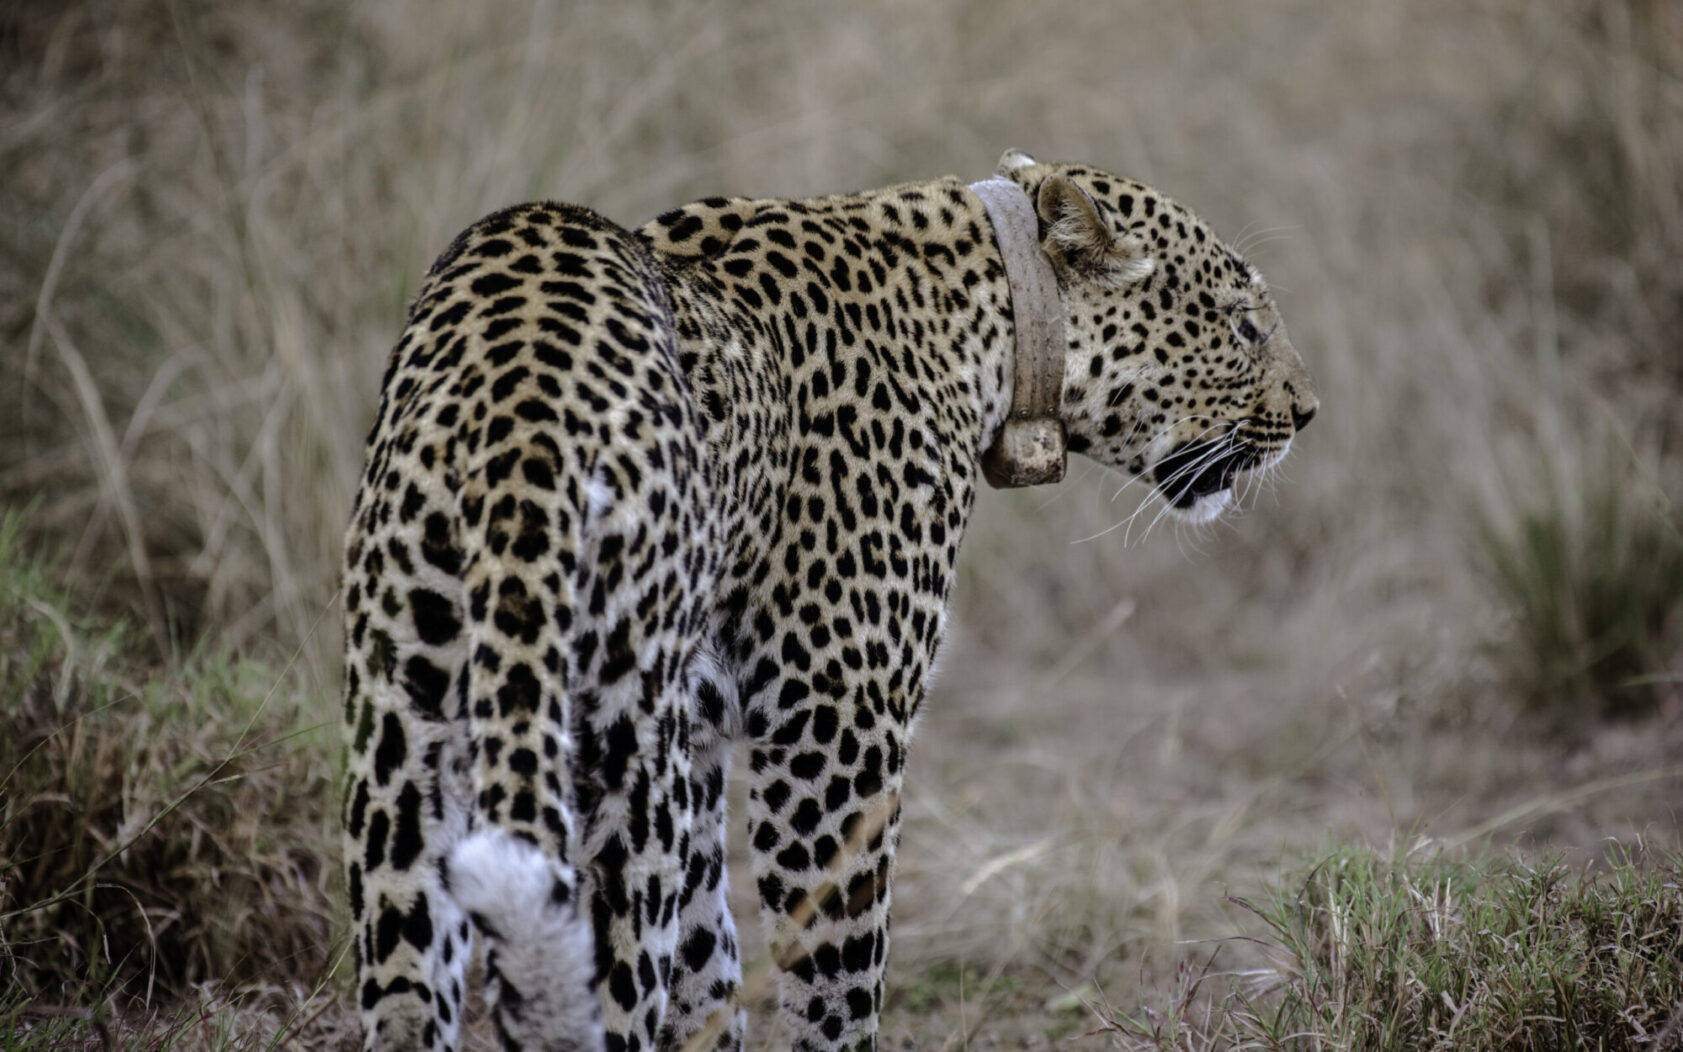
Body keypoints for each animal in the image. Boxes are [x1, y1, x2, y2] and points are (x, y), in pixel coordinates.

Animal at [340, 149, 1317, 1052]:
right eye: (1242, 325)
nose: (1307, 411)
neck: (993, 314)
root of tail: (518, 392)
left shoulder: (702, 739)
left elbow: (707, 958)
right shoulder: (833, 727)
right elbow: (836, 969)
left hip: (404, 726)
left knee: (408, 981)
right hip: (618, 745)